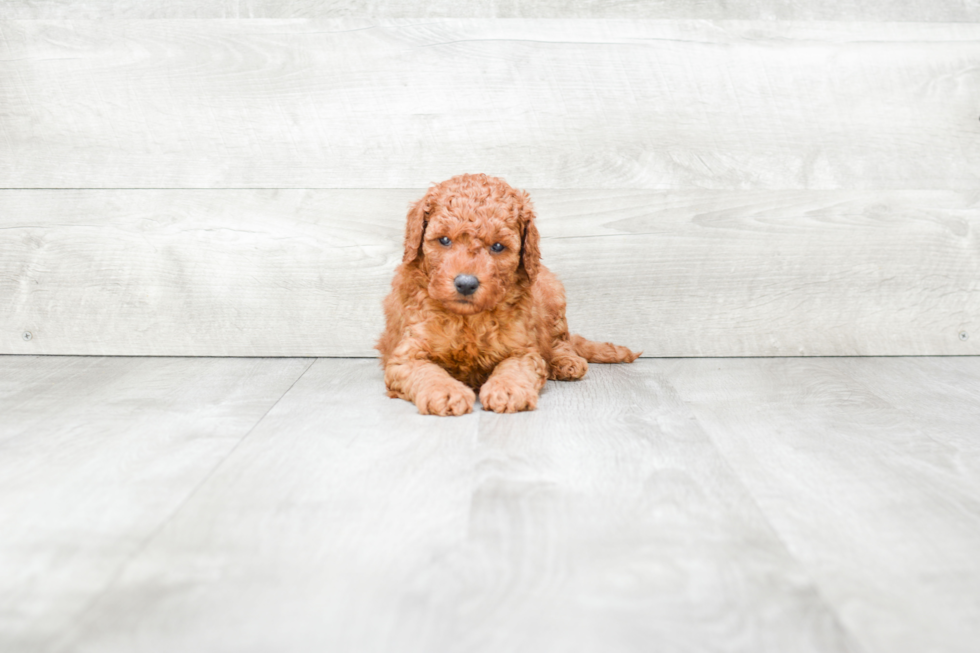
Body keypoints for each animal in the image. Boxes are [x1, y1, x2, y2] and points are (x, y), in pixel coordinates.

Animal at [378, 173, 644, 416]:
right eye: (444, 240)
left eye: (497, 246)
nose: (466, 284)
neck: (469, 319)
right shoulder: (407, 353)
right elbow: (427, 371)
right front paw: (446, 392)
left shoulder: (522, 349)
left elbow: (514, 367)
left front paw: (506, 390)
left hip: (554, 297)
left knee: (561, 341)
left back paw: (565, 362)